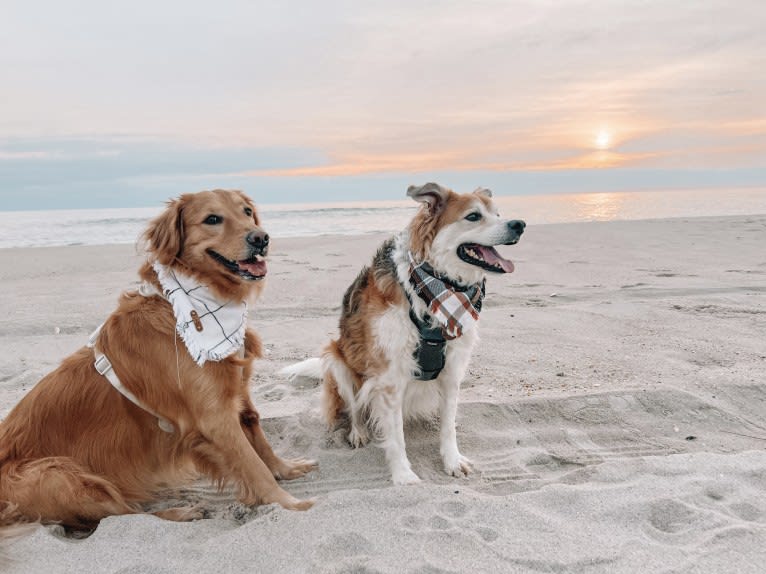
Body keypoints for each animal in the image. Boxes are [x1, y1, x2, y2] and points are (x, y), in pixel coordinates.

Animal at [284, 184, 528, 486]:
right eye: (473, 216)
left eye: (498, 214)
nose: (519, 225)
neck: (433, 287)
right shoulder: (389, 377)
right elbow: (396, 436)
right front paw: (403, 475)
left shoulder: (453, 370)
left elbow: (448, 427)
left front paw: (452, 460)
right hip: (336, 361)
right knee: (355, 409)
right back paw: (358, 432)